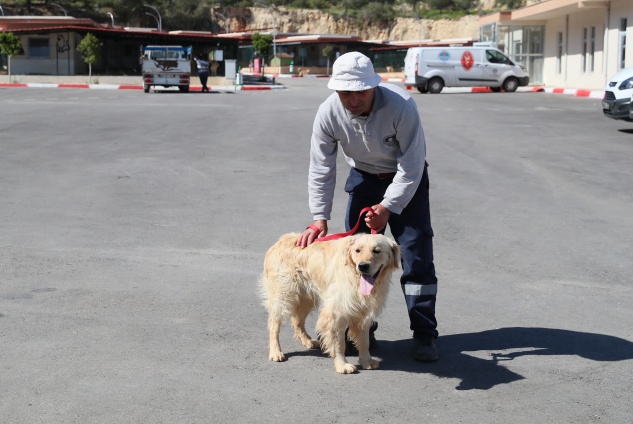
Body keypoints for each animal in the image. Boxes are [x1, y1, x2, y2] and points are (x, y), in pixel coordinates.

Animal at [258, 232, 398, 374]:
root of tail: (280, 241)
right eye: (357, 250)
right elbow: (339, 344)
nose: (362, 266)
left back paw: (308, 341)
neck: (355, 278)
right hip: (283, 295)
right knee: (274, 324)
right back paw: (275, 352)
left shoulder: (363, 313)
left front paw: (366, 361)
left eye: (377, 251)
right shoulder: (335, 314)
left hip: (306, 297)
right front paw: (342, 365)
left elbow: (365, 341)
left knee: (296, 322)